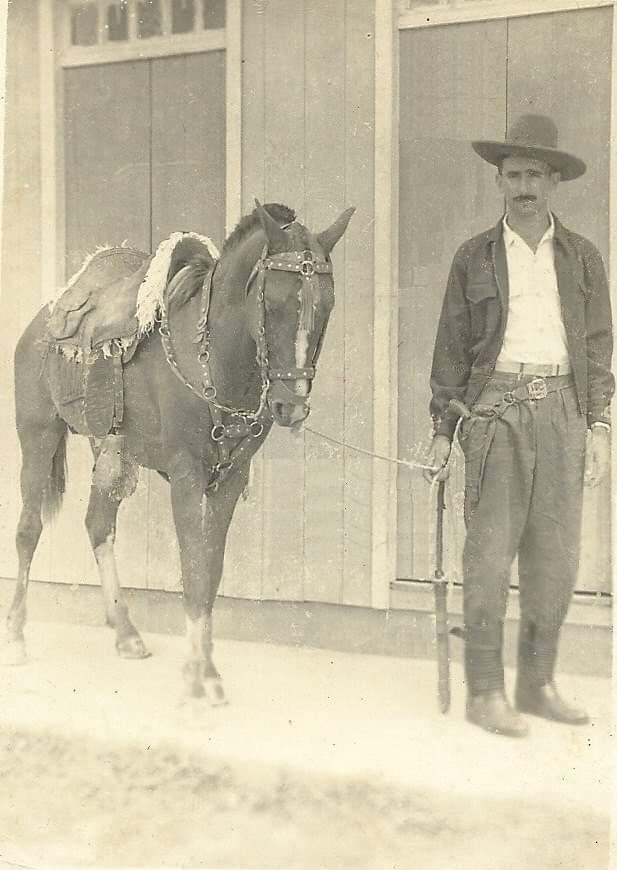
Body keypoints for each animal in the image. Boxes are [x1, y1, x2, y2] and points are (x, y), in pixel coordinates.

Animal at [6, 200, 354, 701]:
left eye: (325, 304)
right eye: (272, 303)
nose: (291, 405)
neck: (213, 359)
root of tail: (46, 317)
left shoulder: (229, 480)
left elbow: (210, 569)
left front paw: (206, 667)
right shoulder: (187, 477)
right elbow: (192, 568)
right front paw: (197, 674)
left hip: (108, 446)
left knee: (97, 523)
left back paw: (126, 633)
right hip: (38, 436)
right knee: (28, 530)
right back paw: (16, 634)